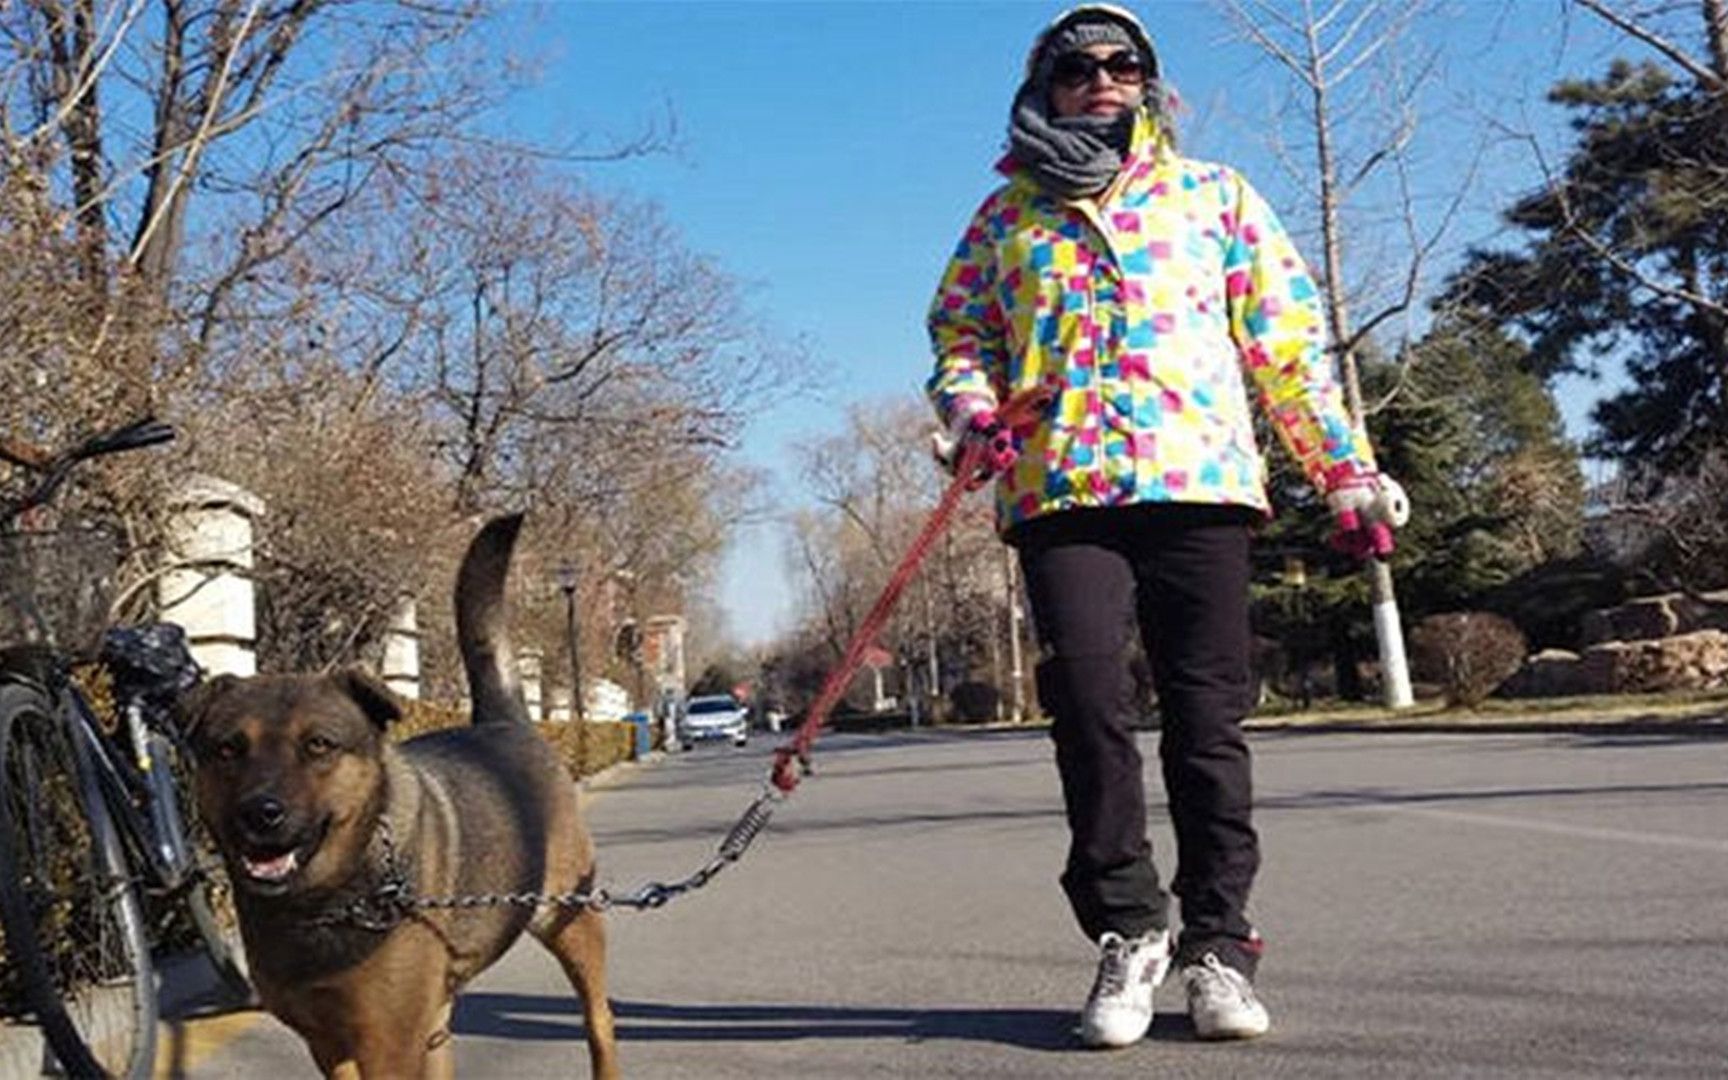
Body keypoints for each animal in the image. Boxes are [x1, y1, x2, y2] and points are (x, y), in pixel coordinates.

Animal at [187, 514, 622, 1078]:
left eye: (319, 744)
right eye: (227, 749)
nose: (259, 813)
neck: (325, 901)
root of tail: (505, 720)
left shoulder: (386, 1045)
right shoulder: (328, 1043)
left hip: (571, 920)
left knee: (599, 1020)